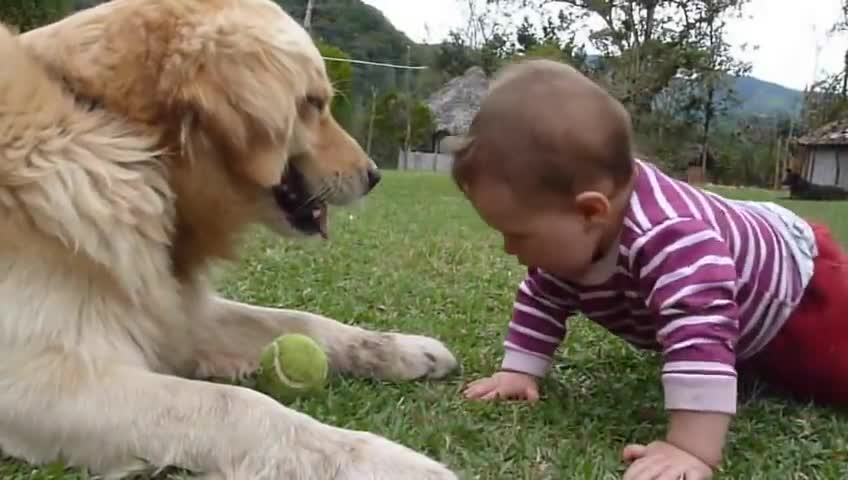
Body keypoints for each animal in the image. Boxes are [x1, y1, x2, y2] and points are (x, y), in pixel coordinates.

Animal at [0, 1, 458, 478]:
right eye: (313, 103)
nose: (374, 175)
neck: (123, 134)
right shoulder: (34, 379)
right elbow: (236, 404)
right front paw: (381, 458)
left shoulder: (174, 311)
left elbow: (301, 321)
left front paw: (402, 348)